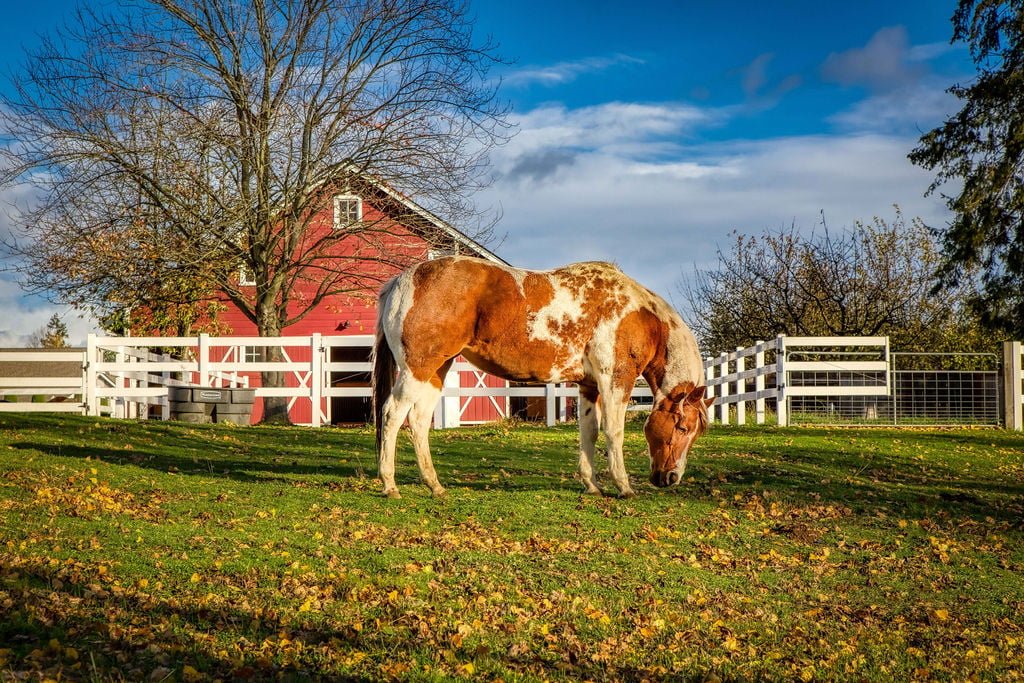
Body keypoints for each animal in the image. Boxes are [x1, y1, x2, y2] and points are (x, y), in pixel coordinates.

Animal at [371, 256, 713, 498]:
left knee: (418, 421)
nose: (670, 478)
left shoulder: (589, 386)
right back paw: (390, 485)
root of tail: (401, 281)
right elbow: (613, 432)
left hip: (435, 371)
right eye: (682, 427)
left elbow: (588, 432)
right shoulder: (616, 380)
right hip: (417, 370)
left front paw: (592, 485)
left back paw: (434, 485)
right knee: (392, 415)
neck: (640, 316)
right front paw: (623, 486)